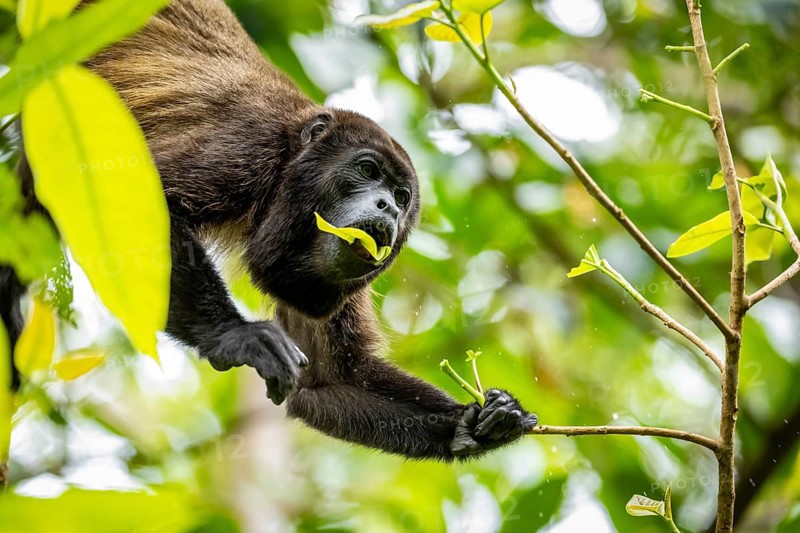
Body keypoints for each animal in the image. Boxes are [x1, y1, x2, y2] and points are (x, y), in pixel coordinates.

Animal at [0, 0, 537, 460]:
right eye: (367, 170)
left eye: (403, 197)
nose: (387, 207)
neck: (290, 160)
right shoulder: (245, 144)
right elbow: (152, 209)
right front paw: (237, 337)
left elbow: (327, 379)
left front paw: (473, 424)